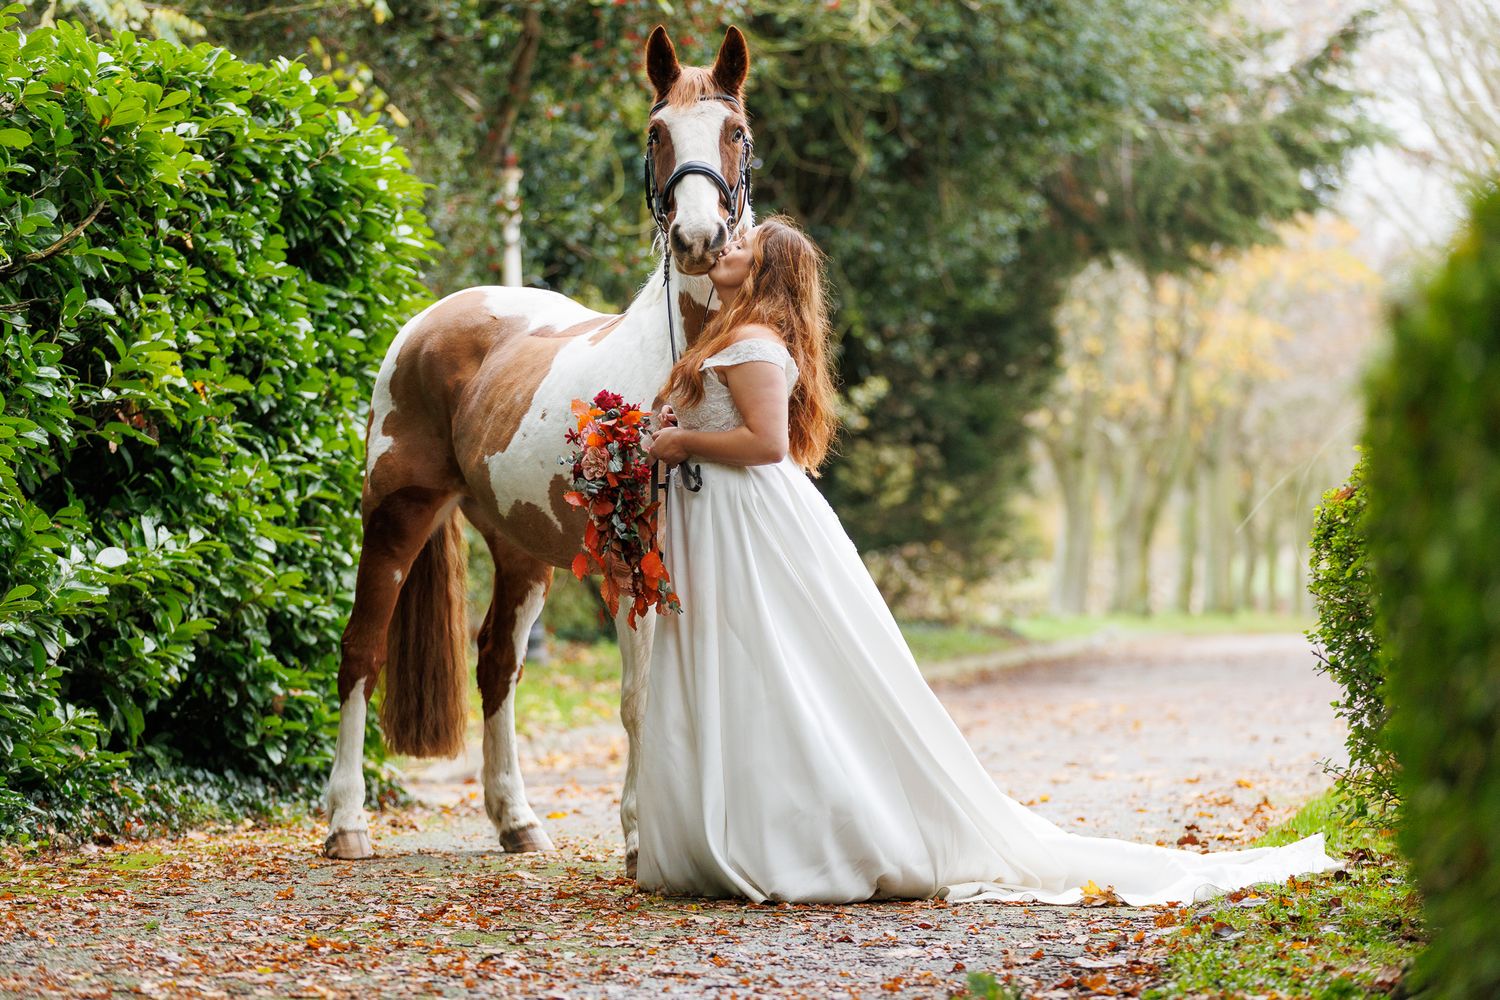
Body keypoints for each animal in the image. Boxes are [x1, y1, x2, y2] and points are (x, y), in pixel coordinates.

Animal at [322, 25, 755, 879]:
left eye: (735, 132)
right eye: (657, 133)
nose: (698, 239)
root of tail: (429, 320)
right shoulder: (629, 570)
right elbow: (639, 700)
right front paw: (639, 840)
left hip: (522, 552)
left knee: (496, 662)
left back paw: (516, 820)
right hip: (395, 518)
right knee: (362, 650)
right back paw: (347, 824)